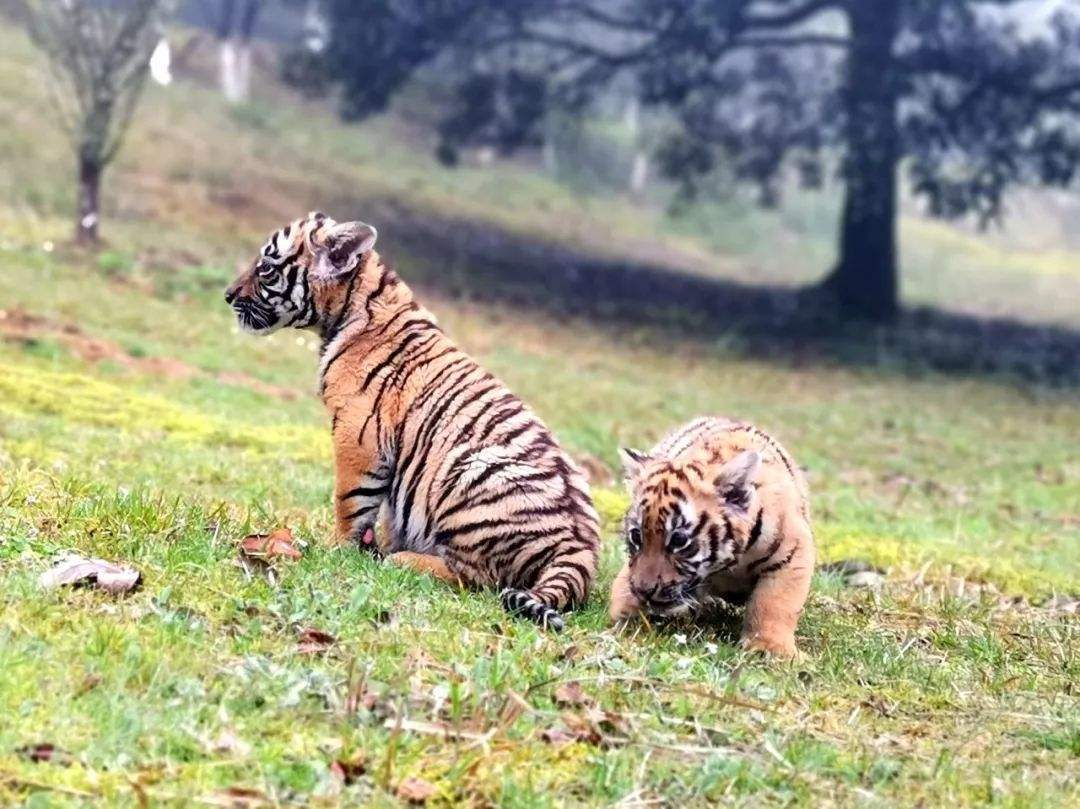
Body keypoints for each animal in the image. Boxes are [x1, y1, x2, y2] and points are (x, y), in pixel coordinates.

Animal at [224, 212, 600, 630]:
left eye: (266, 268)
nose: (228, 295)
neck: (355, 305)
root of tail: (581, 551)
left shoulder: (358, 437)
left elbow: (349, 502)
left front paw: (339, 550)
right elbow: (388, 511)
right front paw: (374, 547)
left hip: (471, 474)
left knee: (478, 578)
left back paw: (404, 560)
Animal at [609, 417, 815, 658]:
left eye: (679, 540)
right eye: (636, 536)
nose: (644, 591)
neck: (730, 564)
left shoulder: (793, 552)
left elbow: (775, 602)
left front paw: (770, 648)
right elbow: (623, 588)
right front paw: (625, 619)